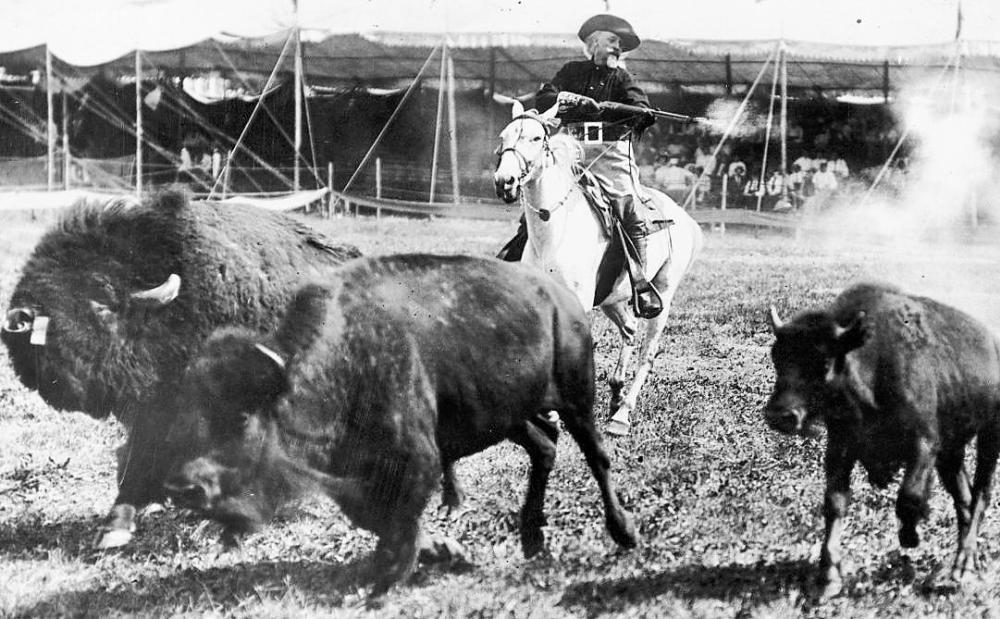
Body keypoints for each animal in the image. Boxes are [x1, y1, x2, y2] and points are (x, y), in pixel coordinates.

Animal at [163, 254, 632, 592]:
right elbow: (375, 518)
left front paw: (394, 574)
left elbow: (400, 518)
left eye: (243, 417)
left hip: (576, 398)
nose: (185, 487)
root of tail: (561, 298)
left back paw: (623, 532)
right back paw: (533, 538)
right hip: (507, 414)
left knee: (597, 456)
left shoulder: (416, 459)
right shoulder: (354, 476)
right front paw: (440, 552)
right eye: (191, 411)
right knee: (545, 447)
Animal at [494, 101, 704, 438]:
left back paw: (622, 414)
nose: (505, 182)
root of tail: (683, 217)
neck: (555, 232)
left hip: (663, 296)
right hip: (612, 299)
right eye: (504, 136)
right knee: (629, 329)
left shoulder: (578, 304)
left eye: (537, 138)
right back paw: (616, 393)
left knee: (648, 353)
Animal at [764, 284, 1000, 600]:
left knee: (980, 497)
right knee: (964, 499)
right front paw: (828, 579)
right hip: (952, 452)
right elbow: (835, 504)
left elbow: (909, 497)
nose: (780, 415)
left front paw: (910, 537)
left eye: (824, 361)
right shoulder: (841, 448)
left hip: (989, 436)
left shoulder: (924, 444)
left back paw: (961, 568)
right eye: (776, 357)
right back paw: (963, 566)